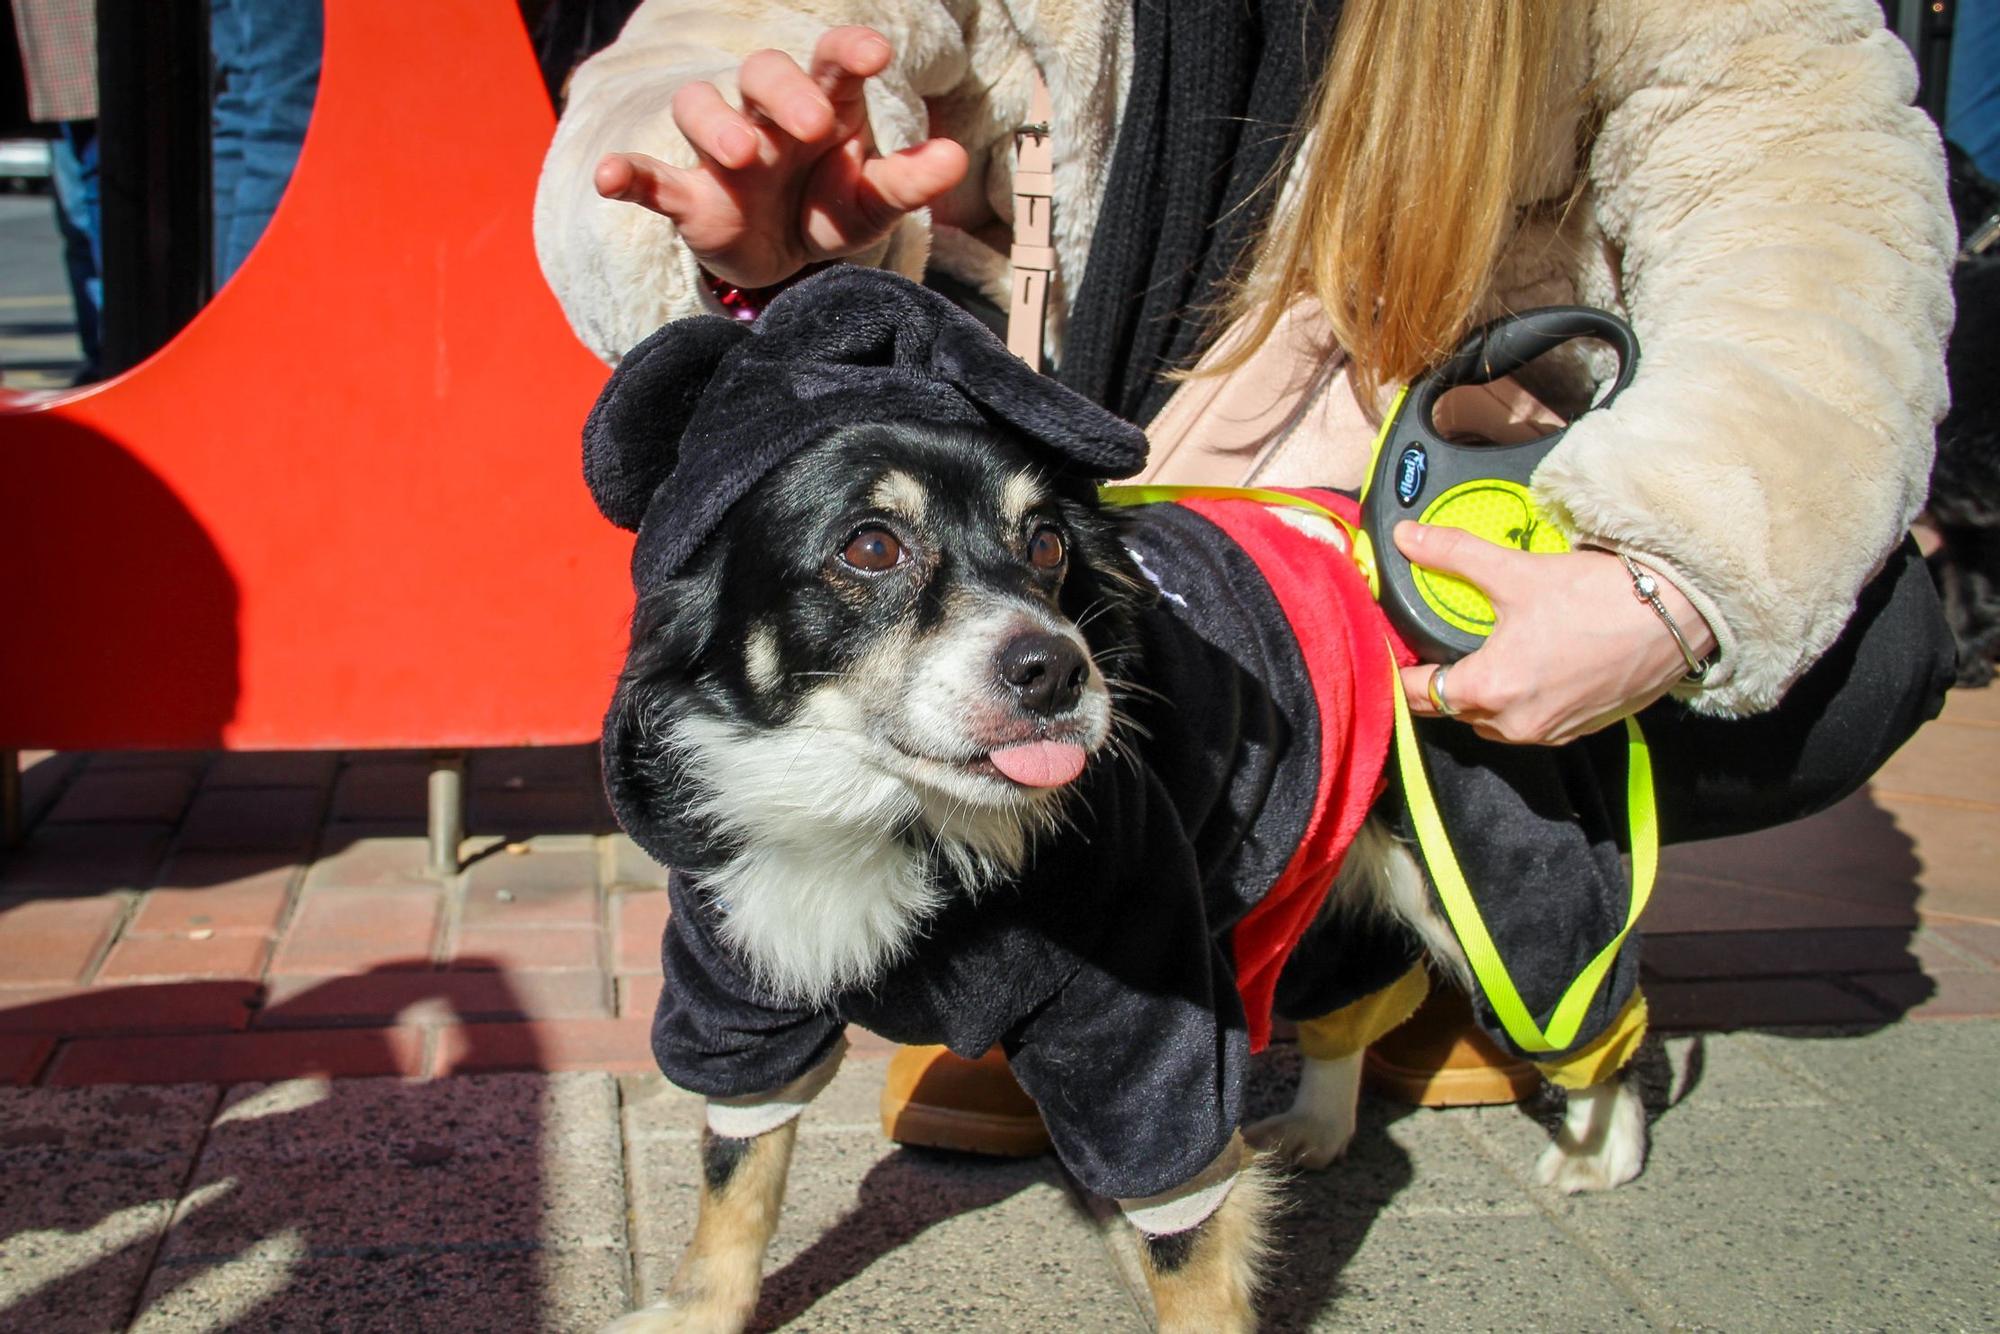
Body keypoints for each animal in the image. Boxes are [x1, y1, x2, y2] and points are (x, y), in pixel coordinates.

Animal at [584, 266, 1648, 1328]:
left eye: (1049, 544)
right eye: (871, 548)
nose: (1057, 670)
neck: (888, 819)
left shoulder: (1145, 1018)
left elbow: (1188, 1248)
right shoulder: (738, 991)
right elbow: (735, 1173)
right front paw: (698, 1312)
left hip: (1499, 884)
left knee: (1588, 1002)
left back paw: (1600, 1152)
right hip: (1310, 859)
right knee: (1359, 989)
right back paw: (1315, 1127)